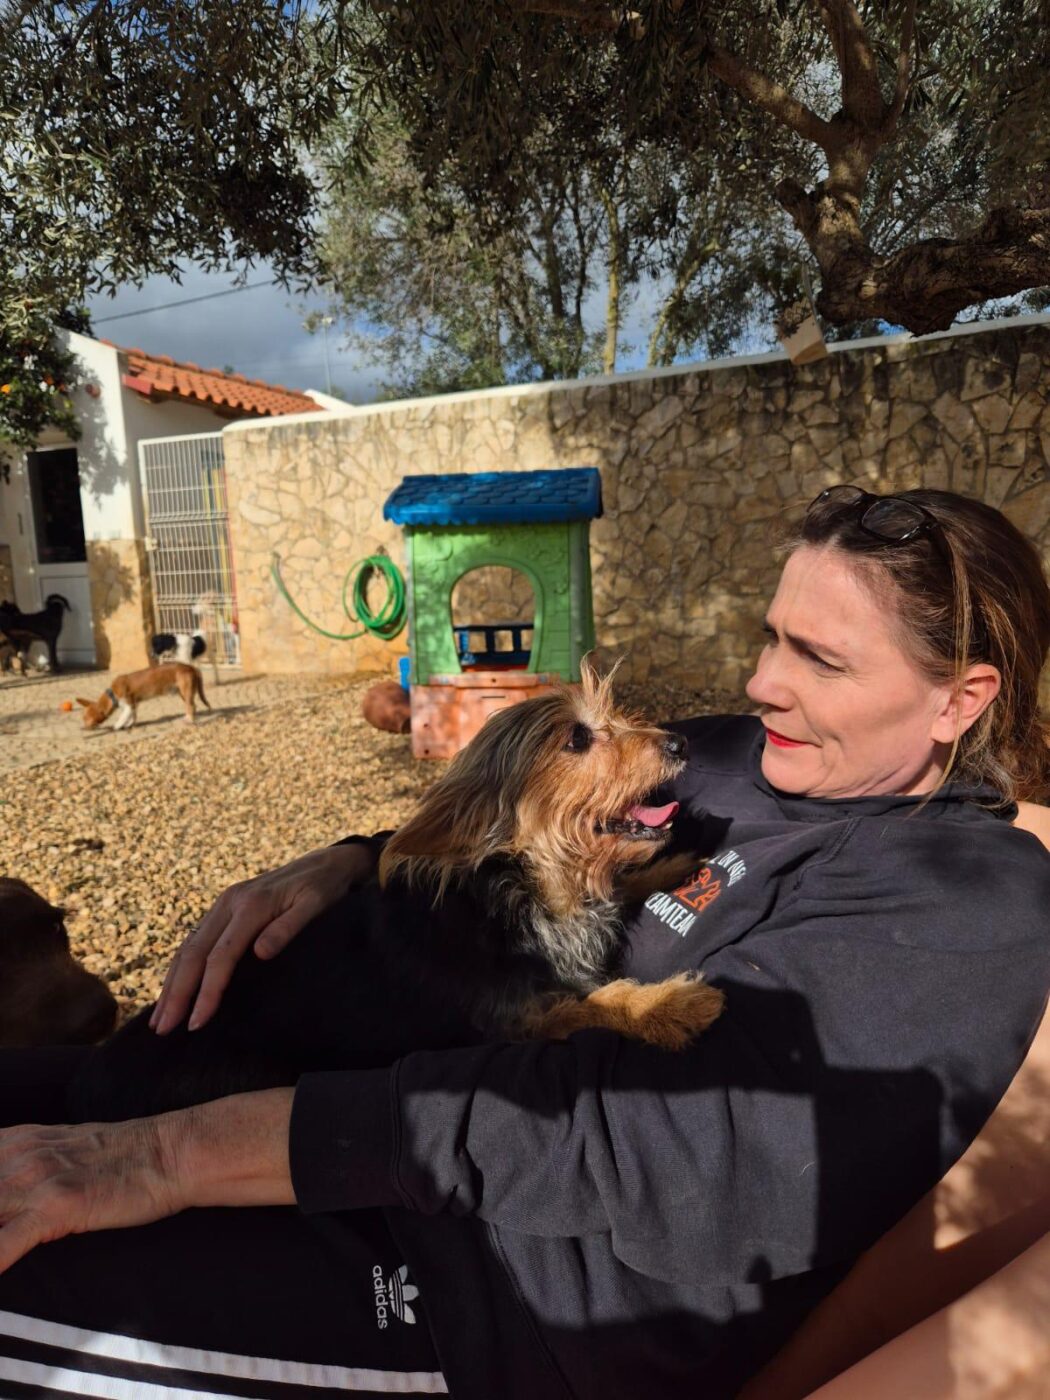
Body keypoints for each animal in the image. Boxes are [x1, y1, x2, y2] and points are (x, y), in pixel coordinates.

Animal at [76, 663, 211, 730]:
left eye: (86, 718)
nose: (83, 727)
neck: (112, 694)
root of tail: (191, 667)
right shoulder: (133, 705)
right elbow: (133, 716)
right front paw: (129, 724)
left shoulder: (128, 705)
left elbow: (122, 717)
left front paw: (118, 725)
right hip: (182, 693)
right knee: (192, 706)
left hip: (186, 692)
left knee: (192, 706)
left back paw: (190, 720)